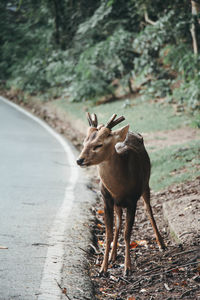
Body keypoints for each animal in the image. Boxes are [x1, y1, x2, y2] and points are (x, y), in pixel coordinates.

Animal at [76, 113, 165, 276]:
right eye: (84, 141)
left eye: (98, 145)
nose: (79, 160)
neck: (120, 187)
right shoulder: (106, 199)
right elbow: (109, 233)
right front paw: (103, 269)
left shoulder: (132, 201)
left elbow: (127, 233)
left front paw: (127, 268)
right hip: (117, 204)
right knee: (118, 222)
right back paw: (113, 255)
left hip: (145, 184)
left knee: (148, 210)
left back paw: (162, 244)